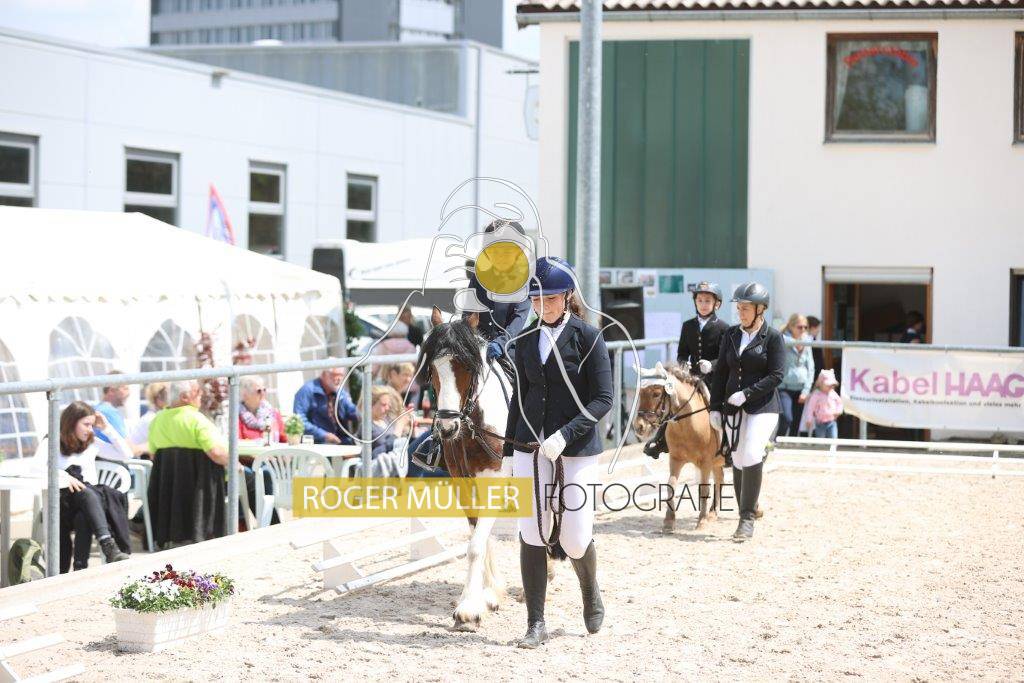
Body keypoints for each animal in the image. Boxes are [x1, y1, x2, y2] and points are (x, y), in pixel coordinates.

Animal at [416, 306, 513, 630]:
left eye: (467, 368)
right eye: (433, 369)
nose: (447, 428)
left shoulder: (494, 481)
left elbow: (476, 545)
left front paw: (469, 609)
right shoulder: (463, 483)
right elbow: (478, 538)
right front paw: (487, 595)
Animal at [632, 362, 726, 532]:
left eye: (656, 394)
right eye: (640, 393)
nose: (639, 427)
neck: (687, 425)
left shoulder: (706, 462)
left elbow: (704, 489)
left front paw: (701, 521)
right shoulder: (676, 459)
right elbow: (671, 485)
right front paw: (669, 521)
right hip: (716, 462)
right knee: (720, 478)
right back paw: (713, 513)